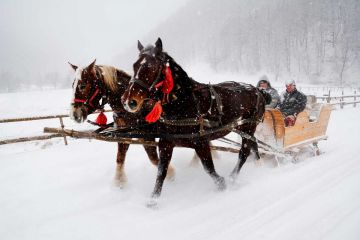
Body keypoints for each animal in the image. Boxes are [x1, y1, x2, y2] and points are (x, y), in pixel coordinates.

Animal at [68, 60, 174, 188]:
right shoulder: (123, 135)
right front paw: (119, 182)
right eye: (72, 85)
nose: (74, 114)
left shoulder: (146, 136)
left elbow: (154, 159)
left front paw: (171, 174)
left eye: (83, 85)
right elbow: (120, 157)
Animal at [121, 38, 270, 204]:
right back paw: (258, 164)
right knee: (253, 144)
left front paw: (222, 184)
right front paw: (153, 200)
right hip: (243, 128)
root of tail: (257, 90)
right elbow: (161, 171)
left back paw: (233, 177)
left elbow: (209, 168)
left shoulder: (200, 142)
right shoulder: (166, 142)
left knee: (244, 151)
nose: (129, 101)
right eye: (134, 66)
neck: (184, 103)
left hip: (249, 125)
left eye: (150, 67)